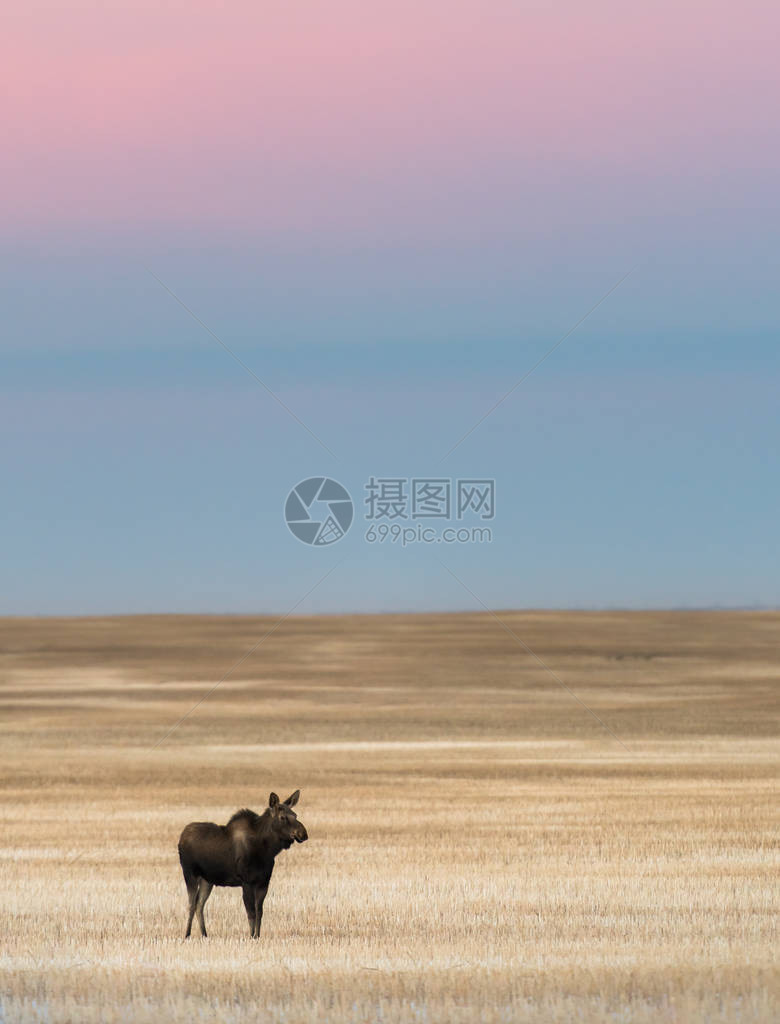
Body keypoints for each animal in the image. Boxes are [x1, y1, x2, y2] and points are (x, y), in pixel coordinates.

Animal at [178, 790, 309, 937]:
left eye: (295, 815)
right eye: (282, 817)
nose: (303, 833)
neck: (267, 851)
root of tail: (181, 838)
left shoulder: (263, 882)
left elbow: (259, 913)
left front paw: (257, 936)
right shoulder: (246, 881)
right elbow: (251, 913)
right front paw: (251, 936)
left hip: (207, 879)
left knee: (199, 904)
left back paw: (204, 934)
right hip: (190, 873)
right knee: (191, 904)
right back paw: (187, 934)